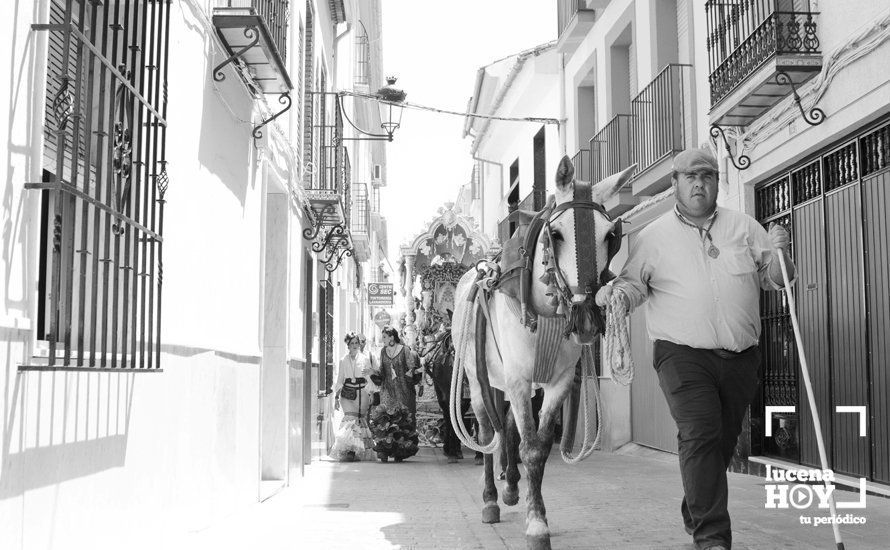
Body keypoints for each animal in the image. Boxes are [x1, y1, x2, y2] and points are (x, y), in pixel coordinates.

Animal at [450, 156, 632, 550]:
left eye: (610, 236)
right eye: (558, 234)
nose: (586, 317)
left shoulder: (556, 382)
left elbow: (539, 446)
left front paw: (533, 508)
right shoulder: (517, 380)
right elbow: (529, 447)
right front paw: (536, 525)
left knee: (508, 428)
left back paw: (511, 486)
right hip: (478, 380)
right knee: (487, 433)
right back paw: (491, 500)